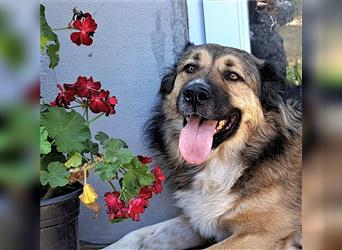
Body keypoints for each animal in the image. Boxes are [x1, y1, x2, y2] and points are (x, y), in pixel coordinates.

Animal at [105, 44, 302, 249]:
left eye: (233, 76)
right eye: (190, 68)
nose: (194, 94)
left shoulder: (264, 233)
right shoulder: (199, 217)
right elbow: (135, 236)